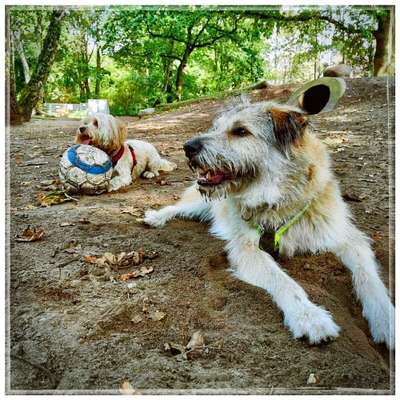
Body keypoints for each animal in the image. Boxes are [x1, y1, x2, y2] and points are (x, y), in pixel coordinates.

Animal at [145, 79, 396, 350]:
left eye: (241, 131)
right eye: (217, 128)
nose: (187, 147)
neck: (280, 200)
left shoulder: (348, 236)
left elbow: (369, 279)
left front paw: (387, 319)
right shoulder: (247, 248)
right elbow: (282, 279)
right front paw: (309, 316)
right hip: (197, 204)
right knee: (176, 207)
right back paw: (156, 217)